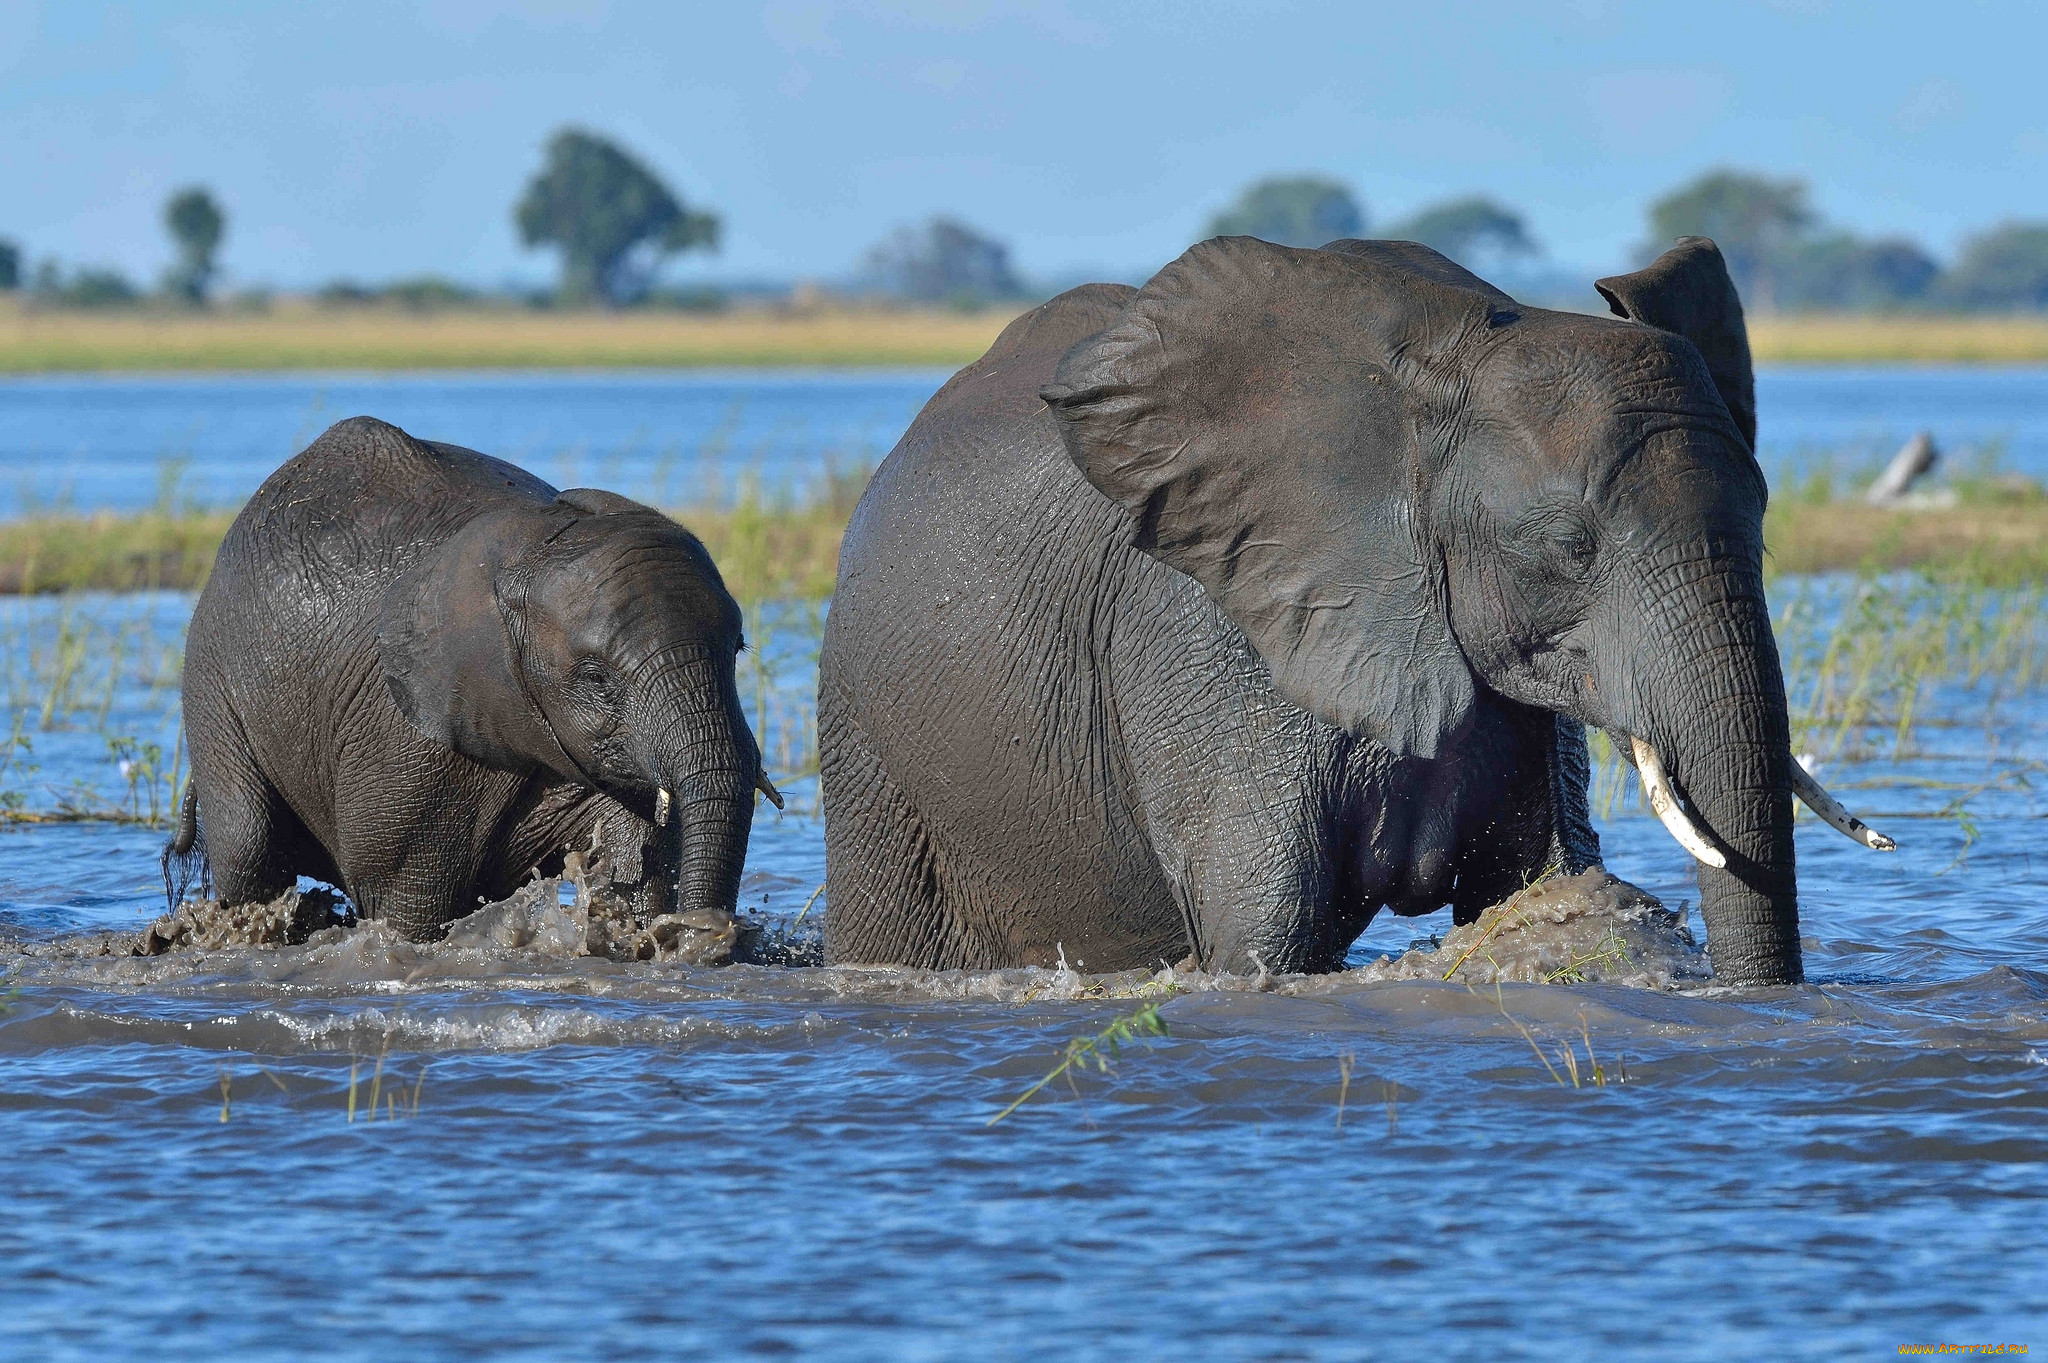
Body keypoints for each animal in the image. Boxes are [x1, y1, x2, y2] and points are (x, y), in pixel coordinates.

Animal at [165, 413, 774, 945]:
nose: (711, 937)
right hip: (210, 680)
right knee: (248, 845)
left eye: (737, 651)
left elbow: (641, 860)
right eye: (596, 677)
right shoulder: (405, 738)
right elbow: (405, 906)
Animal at [815, 233, 1884, 978]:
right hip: (868, 738)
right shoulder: (1208, 634)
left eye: (1762, 524)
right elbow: (1262, 931)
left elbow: (1536, 881)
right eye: (1569, 548)